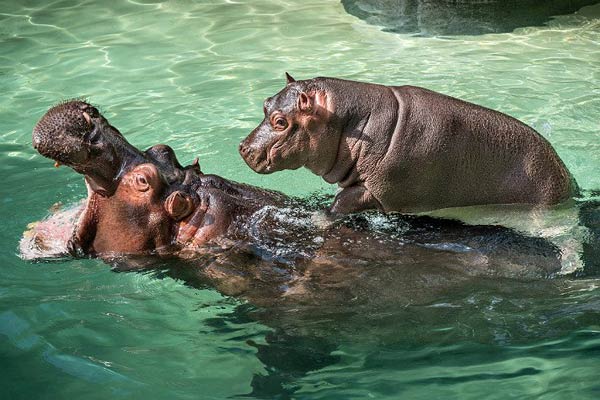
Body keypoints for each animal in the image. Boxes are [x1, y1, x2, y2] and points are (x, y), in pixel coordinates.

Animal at [240, 74, 580, 214]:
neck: (351, 123)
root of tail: (568, 180)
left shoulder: (379, 190)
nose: (243, 147)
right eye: (266, 103)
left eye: (280, 121)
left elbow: (340, 204)